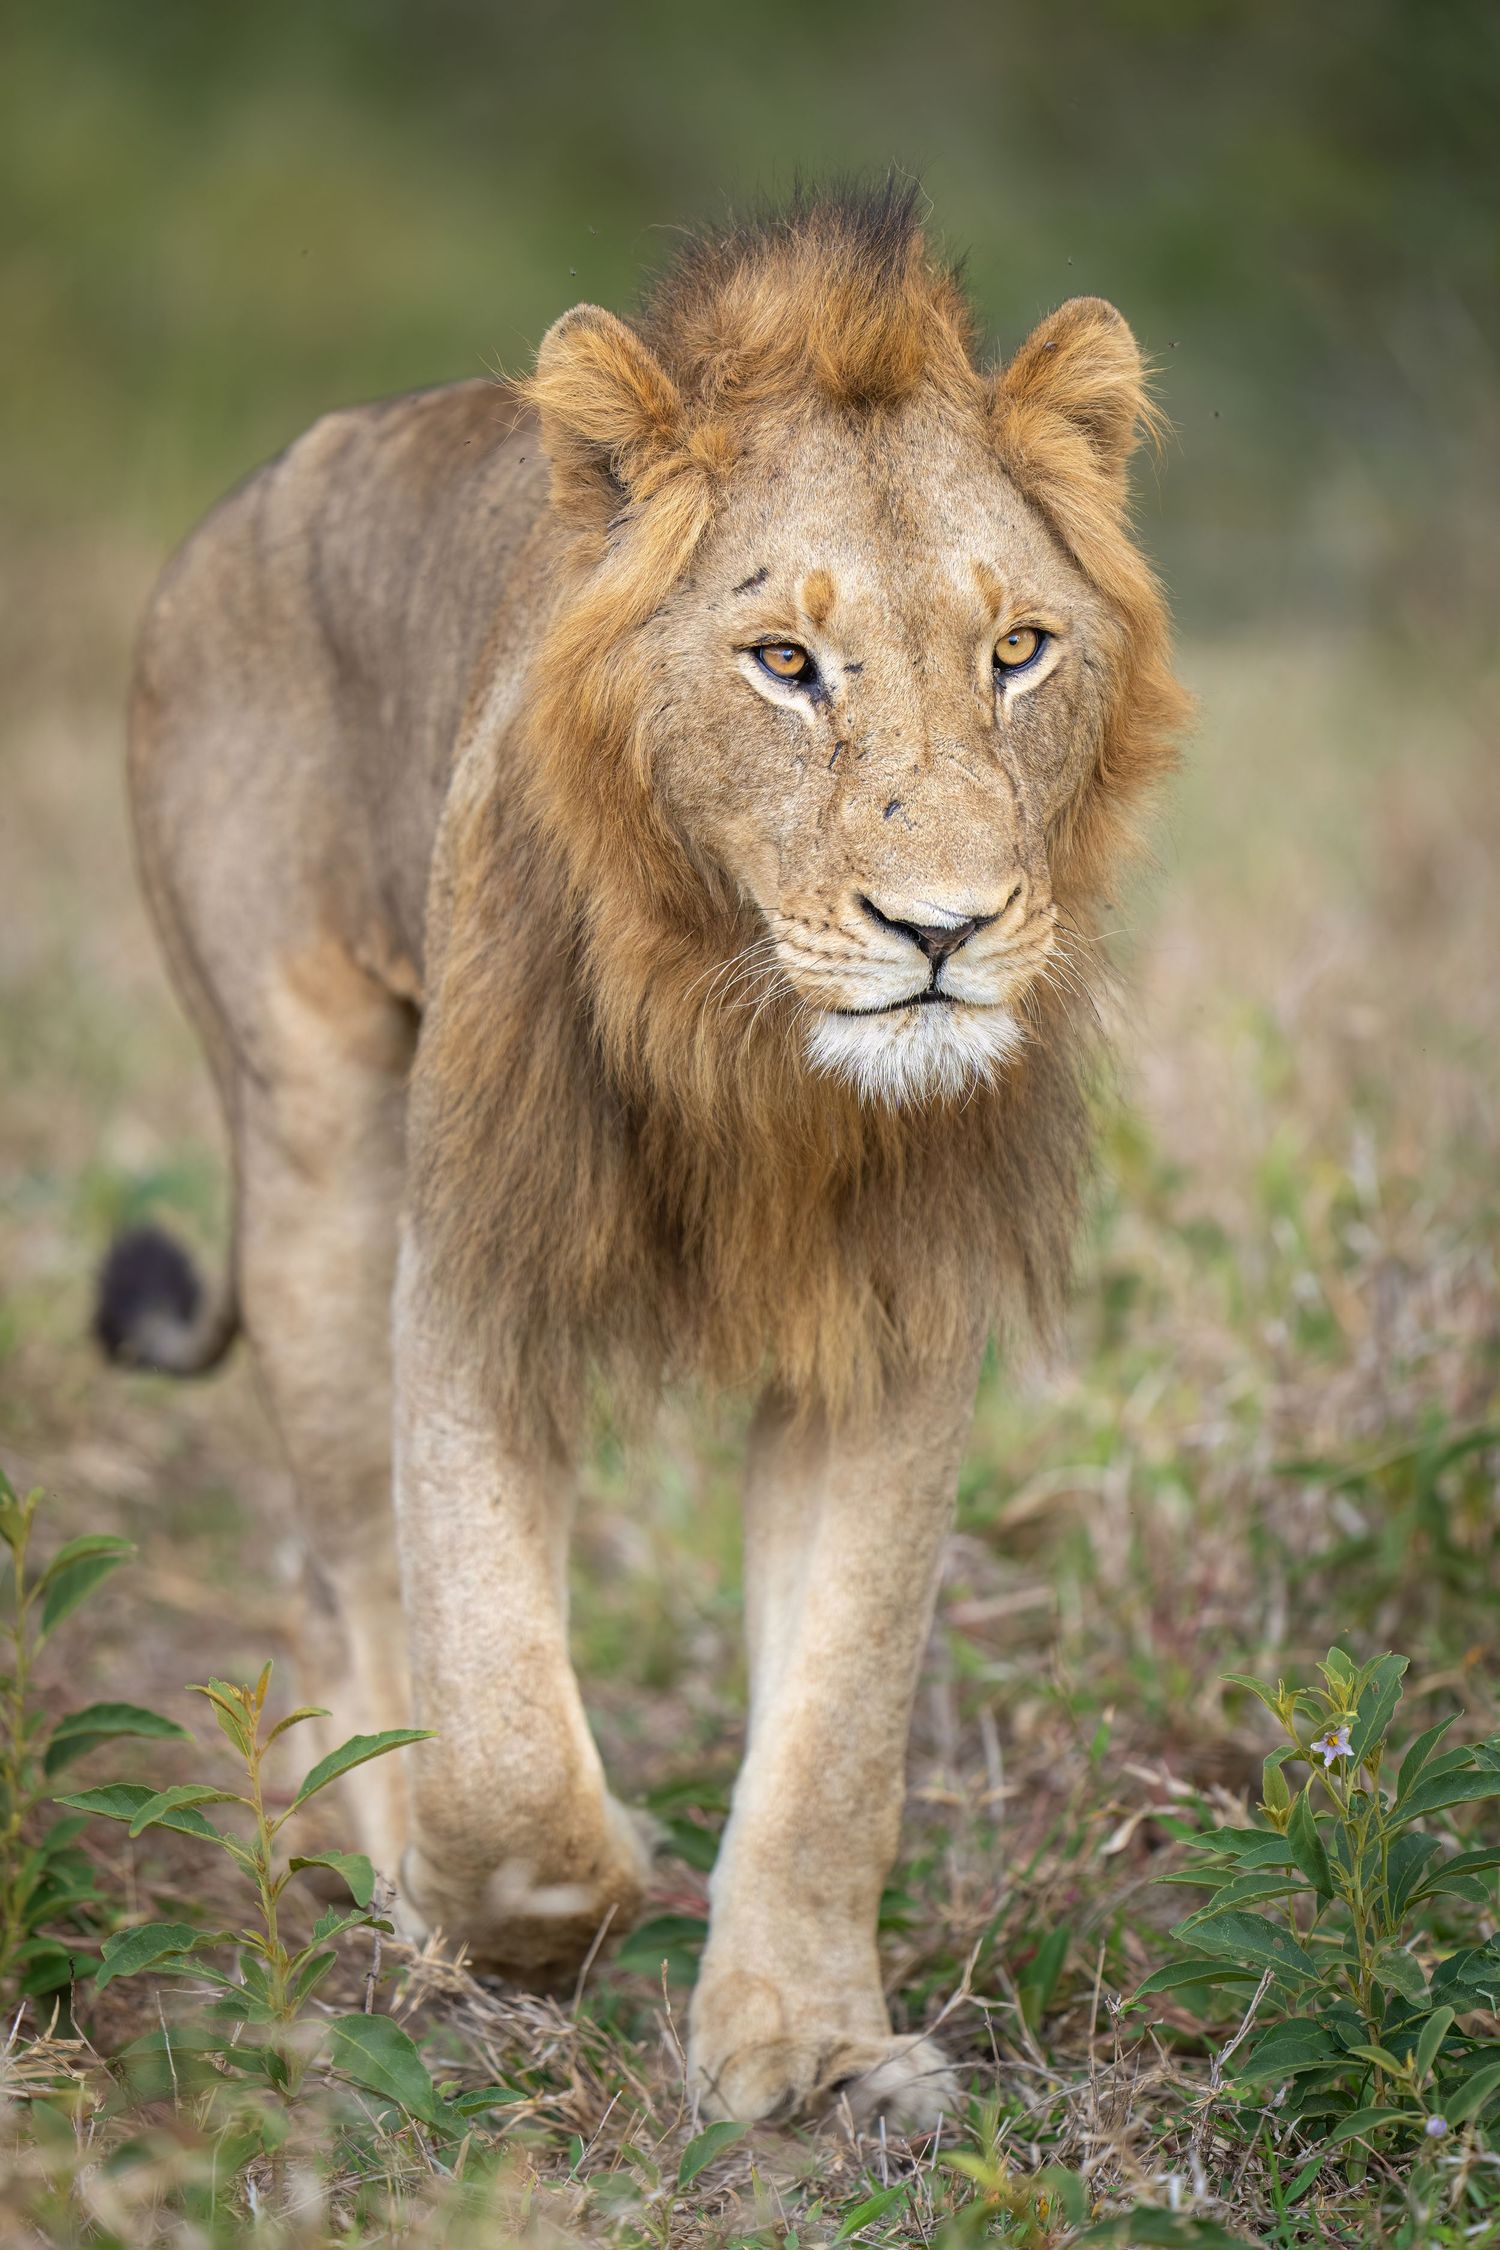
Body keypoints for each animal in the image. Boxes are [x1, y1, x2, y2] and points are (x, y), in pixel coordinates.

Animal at [98, 182, 1187, 2129]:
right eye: (785, 665)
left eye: (1018, 651)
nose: (944, 929)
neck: (754, 1049)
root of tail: (270, 477)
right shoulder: (472, 1262)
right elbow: (502, 1724)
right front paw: (529, 1919)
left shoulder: (894, 1315)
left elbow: (837, 1728)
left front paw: (806, 2041)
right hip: (308, 1144)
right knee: (344, 1563)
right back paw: (388, 1887)